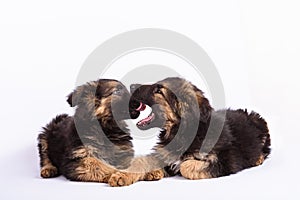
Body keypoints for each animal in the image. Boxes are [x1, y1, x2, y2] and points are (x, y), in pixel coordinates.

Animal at [108, 77, 272, 187]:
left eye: (158, 90)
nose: (131, 85)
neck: (179, 132)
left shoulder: (227, 159)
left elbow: (185, 165)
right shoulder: (164, 153)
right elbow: (142, 161)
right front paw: (122, 175)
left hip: (261, 124)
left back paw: (258, 158)